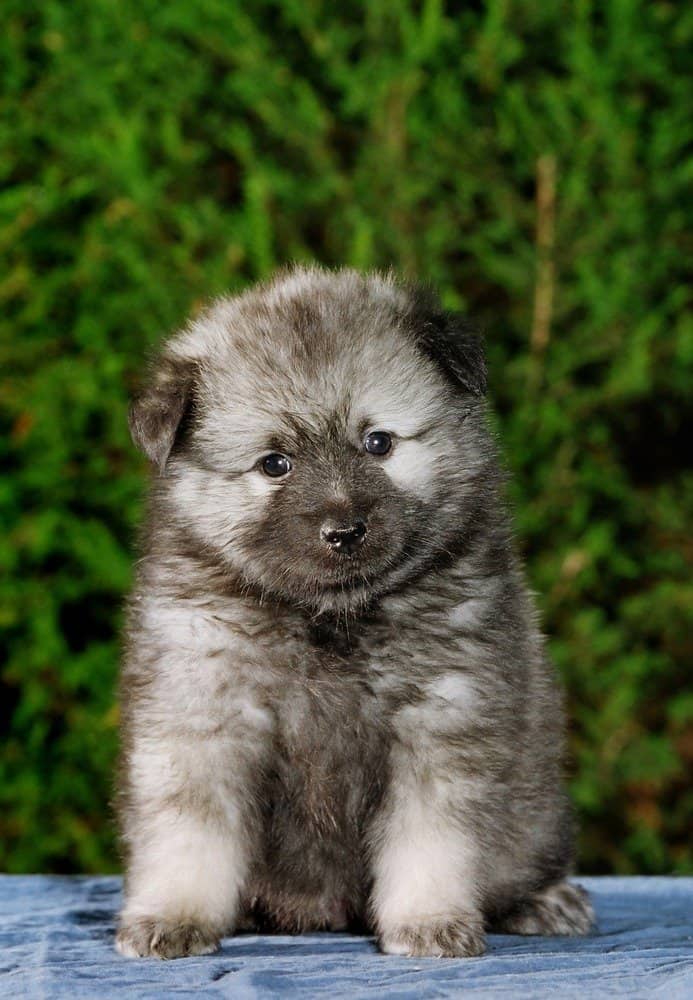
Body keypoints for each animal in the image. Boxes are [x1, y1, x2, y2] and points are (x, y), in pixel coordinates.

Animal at [116, 266, 592, 960]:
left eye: (378, 443)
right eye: (275, 463)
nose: (343, 531)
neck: (329, 619)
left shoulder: (439, 723)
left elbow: (431, 840)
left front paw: (427, 919)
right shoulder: (203, 717)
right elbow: (189, 834)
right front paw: (173, 915)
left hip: (537, 814)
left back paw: (545, 900)